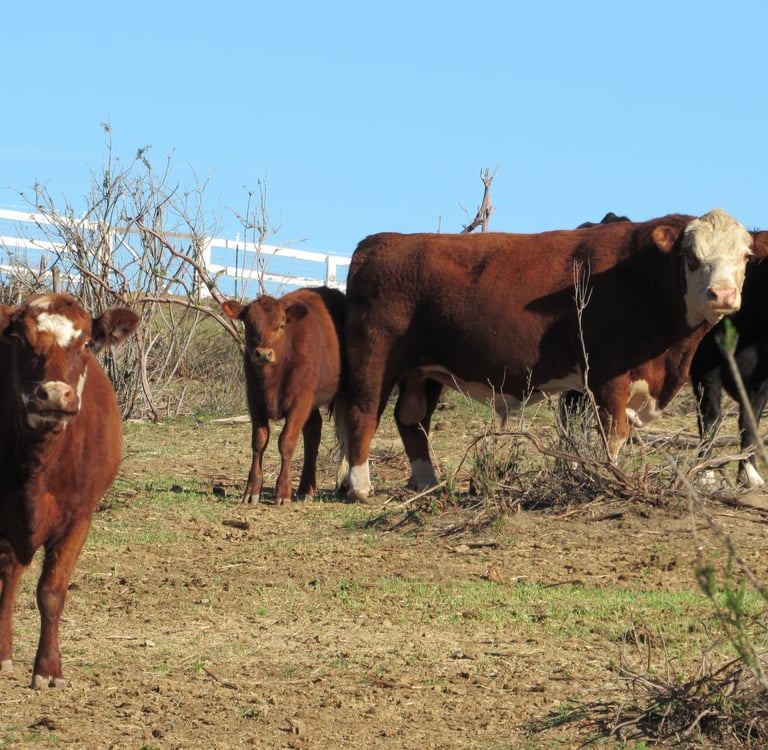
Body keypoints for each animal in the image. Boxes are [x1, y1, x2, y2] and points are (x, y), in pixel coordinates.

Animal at [0, 293, 138, 688]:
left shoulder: (80, 516)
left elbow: (51, 591)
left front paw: (48, 669)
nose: (53, 394)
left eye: (88, 343)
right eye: (19, 340)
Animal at [221, 286, 345, 505]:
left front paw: (283, 492)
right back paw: (306, 488)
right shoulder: (254, 399)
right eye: (248, 324)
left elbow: (286, 442)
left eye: (280, 325)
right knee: (313, 431)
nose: (263, 354)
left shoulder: (301, 400)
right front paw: (252, 489)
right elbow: (259, 441)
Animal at [336, 209, 763, 501]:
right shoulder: (608, 374)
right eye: (692, 257)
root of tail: (378, 243)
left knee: (412, 421)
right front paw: (610, 479)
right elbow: (612, 434)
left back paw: (428, 483)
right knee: (364, 412)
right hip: (376, 358)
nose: (723, 295)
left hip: (423, 372)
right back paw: (360, 487)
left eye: (745, 257)